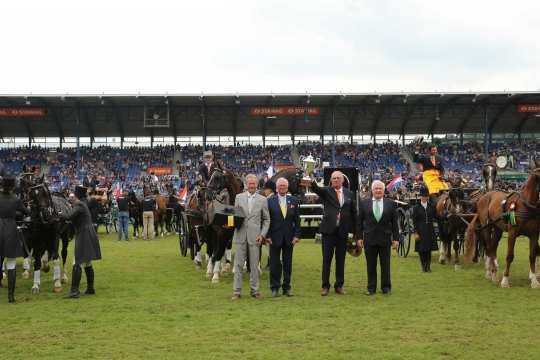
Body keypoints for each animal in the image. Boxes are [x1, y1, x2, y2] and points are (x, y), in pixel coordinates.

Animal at [462, 159, 540, 288]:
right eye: (537, 176)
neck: (525, 205)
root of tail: (485, 195)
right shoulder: (512, 233)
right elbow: (509, 256)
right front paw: (505, 280)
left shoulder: (534, 234)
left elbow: (532, 255)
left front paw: (534, 280)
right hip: (487, 227)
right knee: (488, 248)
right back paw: (491, 273)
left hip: (497, 228)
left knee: (493, 248)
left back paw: (493, 272)